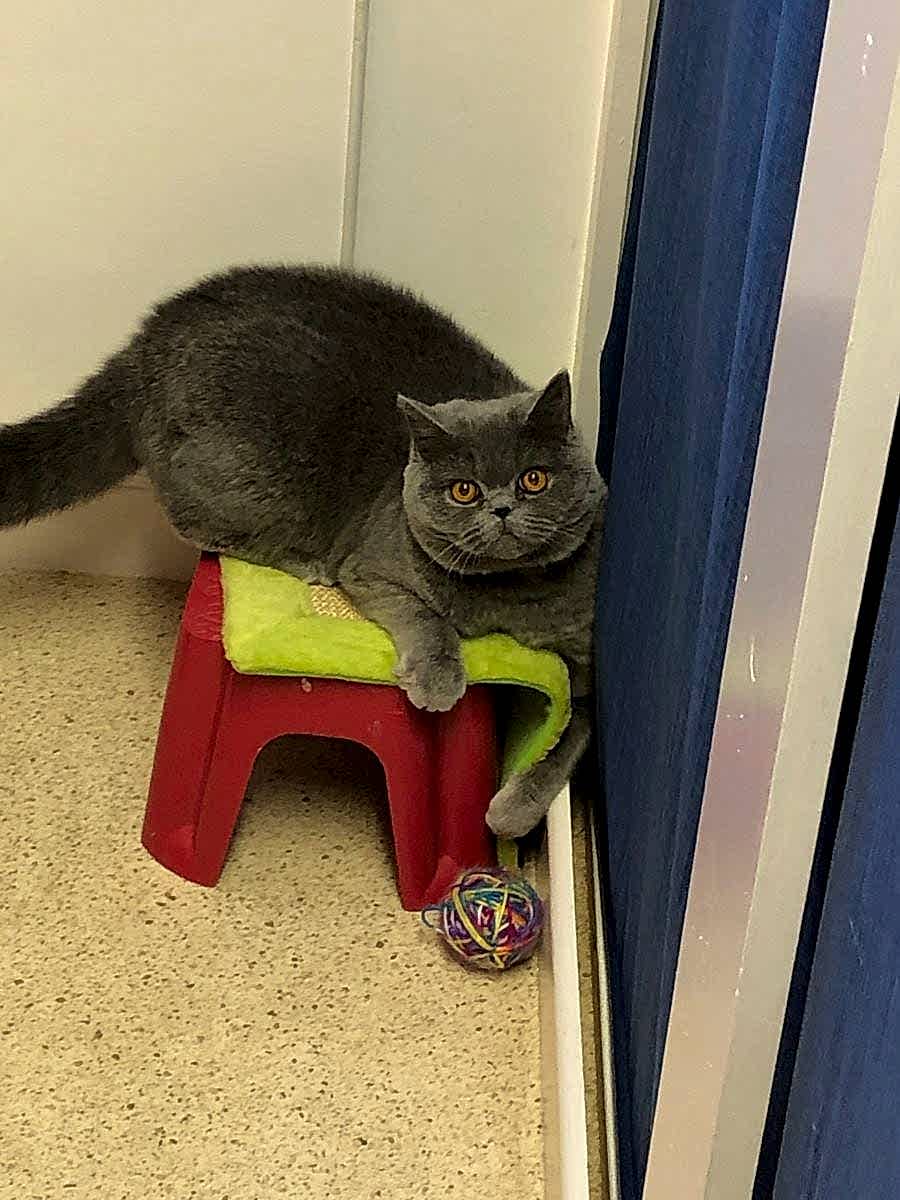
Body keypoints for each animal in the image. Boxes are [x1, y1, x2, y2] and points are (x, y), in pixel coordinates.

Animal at [0, 264, 606, 836]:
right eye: (464, 491)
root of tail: (149, 339)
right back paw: (307, 564)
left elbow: (576, 734)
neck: (507, 596)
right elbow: (425, 618)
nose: (500, 509)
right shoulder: (372, 568)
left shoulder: (586, 659)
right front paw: (438, 682)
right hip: (251, 475)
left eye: (534, 479)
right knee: (194, 519)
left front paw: (512, 813)